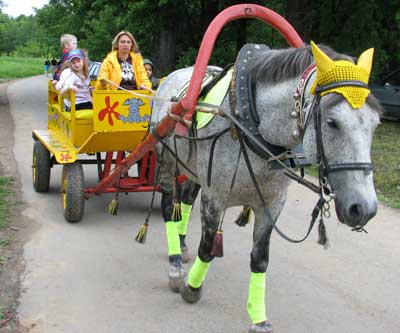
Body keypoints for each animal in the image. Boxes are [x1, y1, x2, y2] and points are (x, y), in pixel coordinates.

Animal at [149, 42, 378, 332]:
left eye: (376, 123)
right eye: (332, 122)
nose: (364, 208)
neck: (251, 124)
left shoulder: (272, 204)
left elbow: (260, 259)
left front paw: (258, 317)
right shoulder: (215, 198)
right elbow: (208, 248)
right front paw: (192, 288)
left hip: (194, 170)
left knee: (187, 199)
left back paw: (182, 243)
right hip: (167, 160)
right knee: (169, 207)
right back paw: (175, 262)